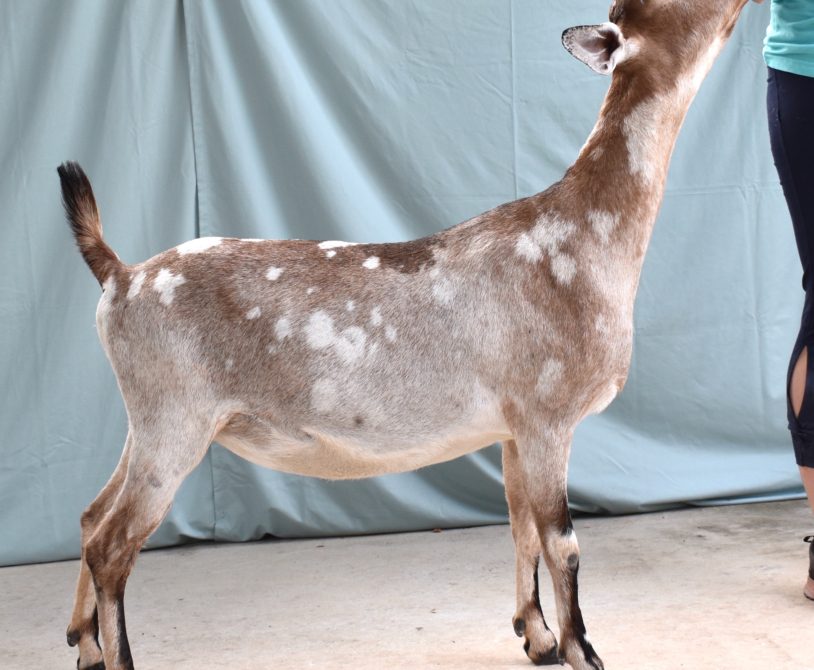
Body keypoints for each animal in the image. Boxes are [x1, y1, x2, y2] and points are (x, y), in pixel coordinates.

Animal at [59, 1, 760, 670]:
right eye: (676, 3)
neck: (585, 239)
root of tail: (120, 276)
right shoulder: (547, 412)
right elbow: (563, 541)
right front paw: (583, 651)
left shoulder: (511, 426)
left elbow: (522, 527)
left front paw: (537, 640)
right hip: (175, 415)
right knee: (114, 543)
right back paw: (116, 657)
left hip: (147, 418)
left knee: (92, 515)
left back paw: (85, 645)